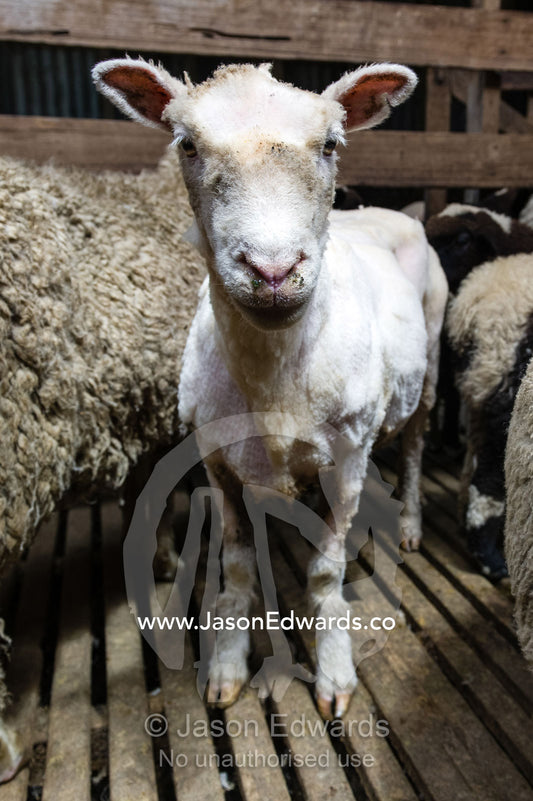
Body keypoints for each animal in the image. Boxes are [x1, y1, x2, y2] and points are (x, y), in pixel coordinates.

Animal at [94, 58, 448, 720]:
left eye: (331, 144)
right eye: (187, 144)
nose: (274, 270)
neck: (273, 378)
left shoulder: (347, 459)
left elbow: (324, 575)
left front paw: (334, 671)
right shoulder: (217, 461)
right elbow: (234, 568)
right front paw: (227, 667)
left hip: (432, 359)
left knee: (415, 445)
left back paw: (411, 522)